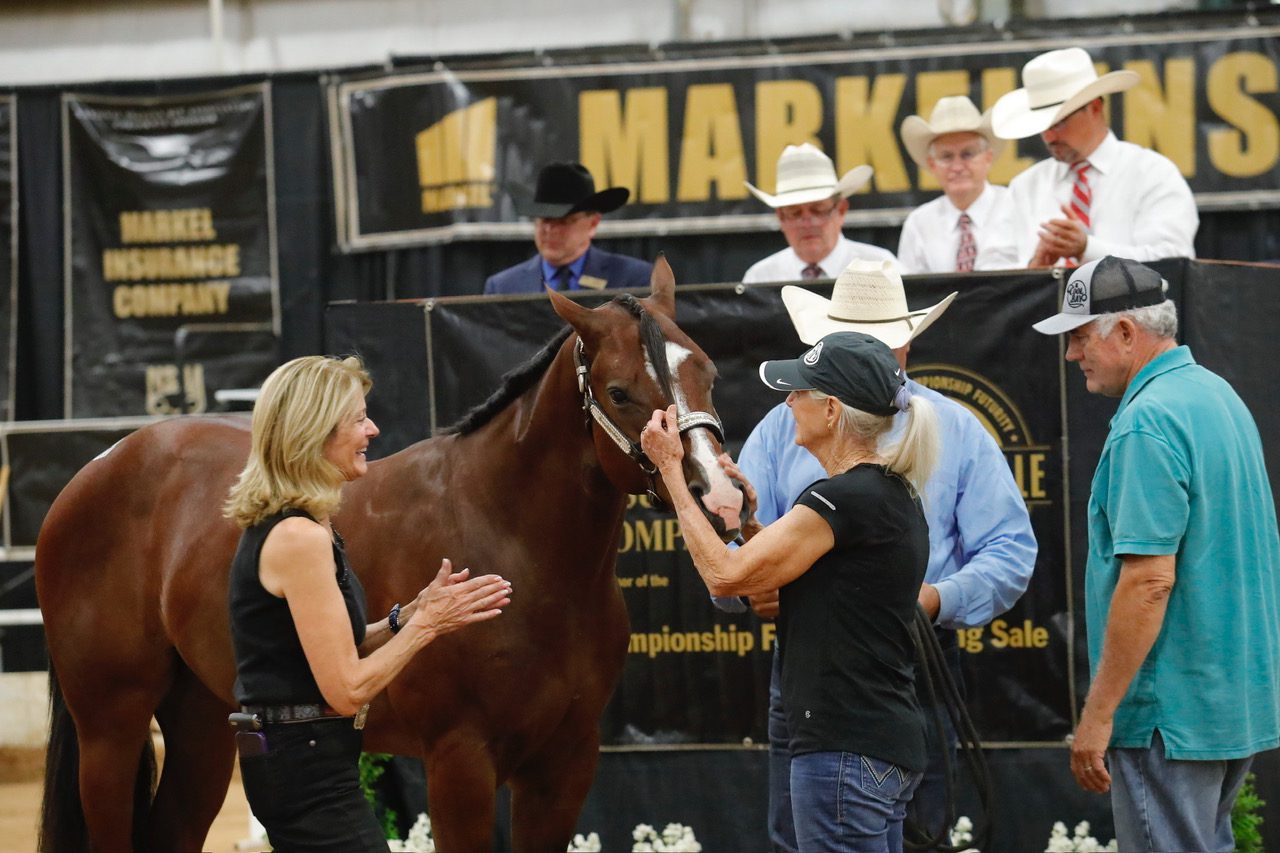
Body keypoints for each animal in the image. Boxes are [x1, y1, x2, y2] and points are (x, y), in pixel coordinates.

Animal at [35, 258, 747, 850]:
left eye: (708, 372)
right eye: (620, 392)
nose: (720, 495)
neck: (515, 539)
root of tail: (100, 464)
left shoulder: (565, 764)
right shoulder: (460, 760)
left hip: (203, 721)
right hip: (111, 726)